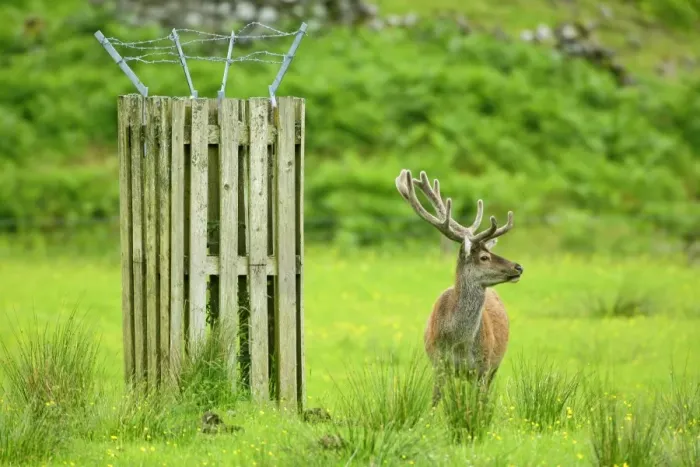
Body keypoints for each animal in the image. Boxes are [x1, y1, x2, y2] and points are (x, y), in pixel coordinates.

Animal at [395, 169, 523, 406]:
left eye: (489, 252)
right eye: (484, 257)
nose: (518, 267)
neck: (459, 344)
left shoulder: (483, 366)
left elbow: (478, 405)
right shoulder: (438, 363)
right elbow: (435, 402)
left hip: (494, 365)